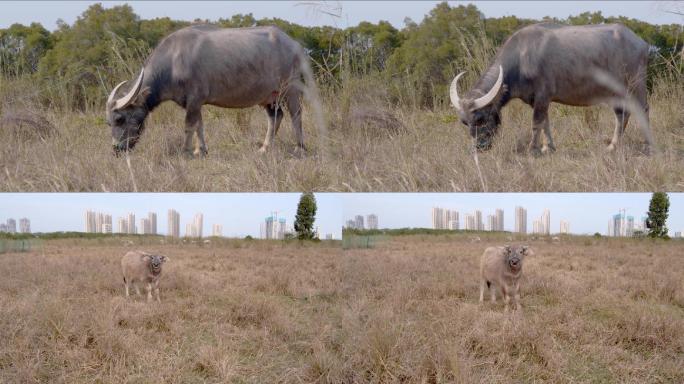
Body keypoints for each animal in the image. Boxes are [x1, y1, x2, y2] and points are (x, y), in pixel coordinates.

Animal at [107, 24, 318, 156]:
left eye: (120, 119)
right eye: (109, 123)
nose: (116, 149)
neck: (174, 61)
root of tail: (294, 44)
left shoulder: (194, 99)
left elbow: (188, 126)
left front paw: (186, 151)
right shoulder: (195, 103)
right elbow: (199, 125)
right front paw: (201, 150)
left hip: (290, 89)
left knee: (296, 114)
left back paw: (300, 148)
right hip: (269, 96)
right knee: (276, 116)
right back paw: (264, 148)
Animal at [448, 22, 652, 154]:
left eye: (480, 119)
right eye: (464, 122)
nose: (478, 148)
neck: (522, 58)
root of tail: (641, 43)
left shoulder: (542, 96)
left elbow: (536, 122)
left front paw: (533, 149)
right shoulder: (537, 100)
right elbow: (545, 122)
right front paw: (548, 147)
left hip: (636, 84)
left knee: (642, 109)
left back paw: (647, 146)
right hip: (616, 91)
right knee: (622, 114)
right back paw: (613, 146)